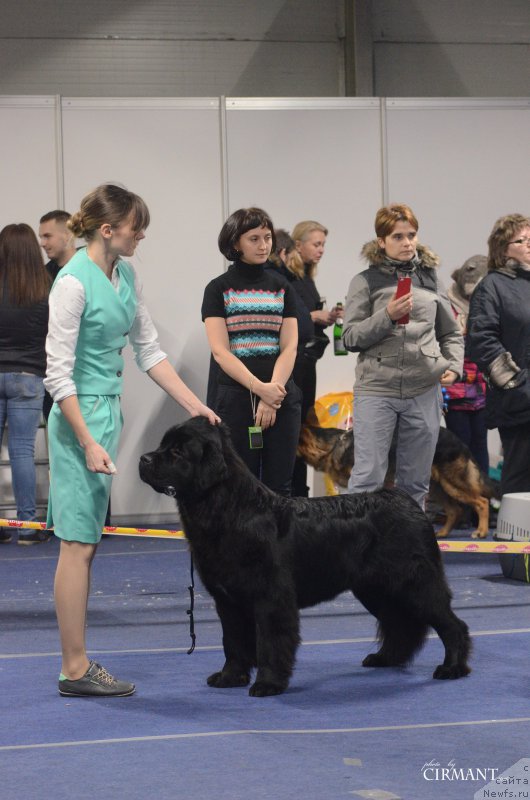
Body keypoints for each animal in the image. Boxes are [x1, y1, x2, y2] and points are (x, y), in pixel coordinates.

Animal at [138, 416, 468, 696]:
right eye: (163, 445)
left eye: (177, 452)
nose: (144, 459)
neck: (230, 509)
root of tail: (406, 500)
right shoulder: (227, 600)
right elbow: (232, 641)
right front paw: (230, 677)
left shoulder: (271, 597)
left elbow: (270, 642)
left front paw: (268, 684)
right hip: (376, 588)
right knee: (400, 623)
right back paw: (385, 658)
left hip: (416, 583)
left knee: (451, 624)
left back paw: (453, 668)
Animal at [296, 422, 496, 540]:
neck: (334, 446)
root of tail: (461, 443)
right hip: (437, 488)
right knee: (455, 510)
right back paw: (442, 533)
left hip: (452, 484)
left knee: (482, 502)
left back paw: (482, 531)